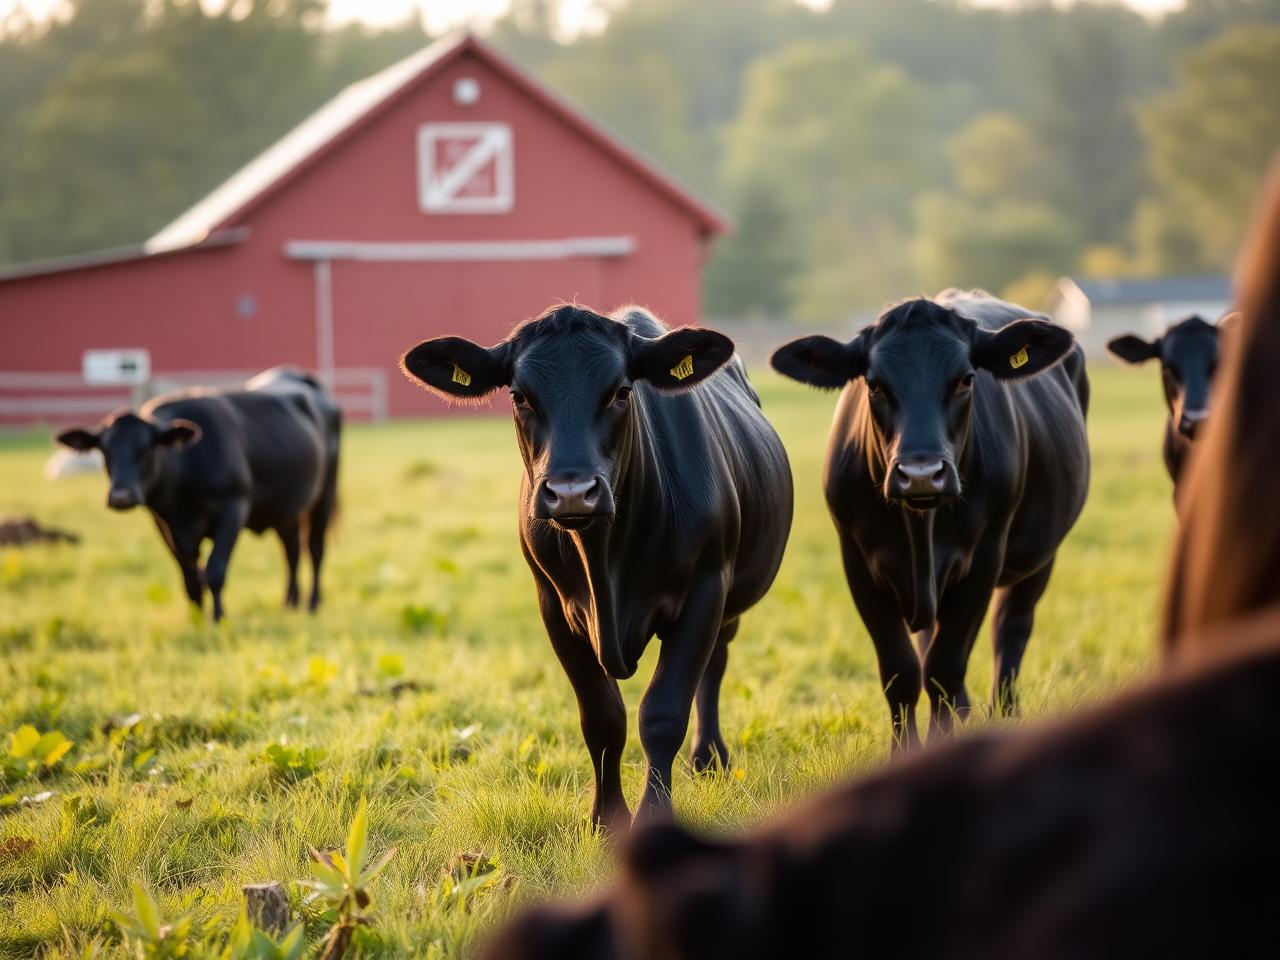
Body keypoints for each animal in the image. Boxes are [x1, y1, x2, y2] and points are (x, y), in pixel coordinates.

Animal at [55, 367, 340, 621]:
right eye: (105, 450)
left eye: (147, 448)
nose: (121, 496)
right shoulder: (165, 523)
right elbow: (191, 578)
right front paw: (197, 619)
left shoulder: (233, 509)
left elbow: (214, 571)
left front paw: (218, 618)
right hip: (287, 509)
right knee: (291, 550)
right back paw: (290, 603)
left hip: (324, 495)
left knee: (315, 548)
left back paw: (313, 603)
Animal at [400, 304, 792, 830]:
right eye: (519, 395)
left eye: (622, 391)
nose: (571, 491)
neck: (606, 561)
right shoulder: (554, 604)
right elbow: (603, 718)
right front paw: (606, 820)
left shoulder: (706, 588)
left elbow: (662, 712)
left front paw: (653, 816)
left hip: (729, 598)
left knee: (715, 664)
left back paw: (709, 758)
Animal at [770, 291, 1089, 746]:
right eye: (874, 384)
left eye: (966, 379)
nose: (921, 473)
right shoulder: (857, 560)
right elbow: (901, 670)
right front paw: (906, 750)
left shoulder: (985, 555)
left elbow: (944, 666)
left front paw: (942, 742)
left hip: (1040, 555)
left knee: (1010, 628)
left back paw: (1004, 712)